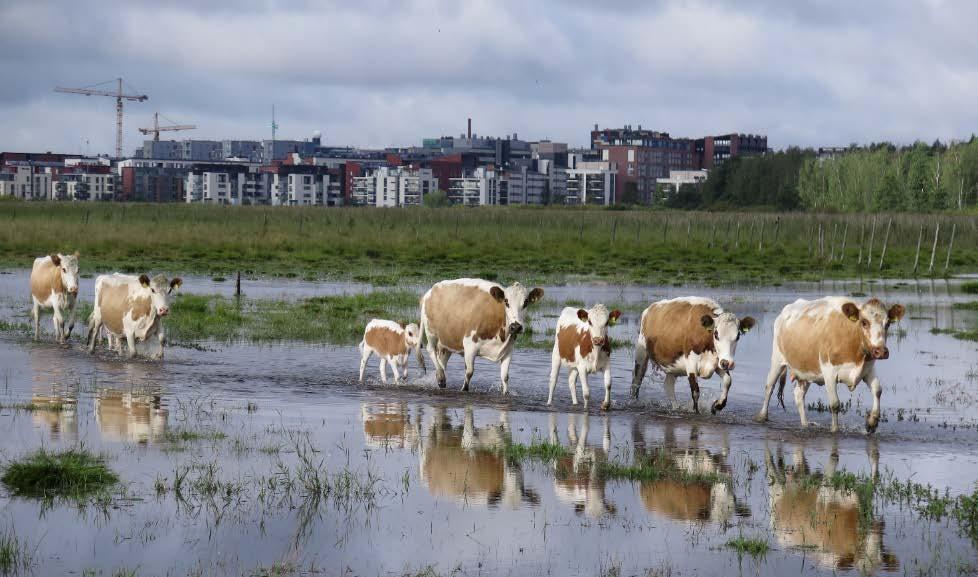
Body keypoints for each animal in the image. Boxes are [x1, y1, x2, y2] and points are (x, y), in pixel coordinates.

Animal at [628, 296, 760, 414]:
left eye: (738, 336)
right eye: (716, 334)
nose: (728, 363)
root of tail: (650, 308)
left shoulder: (717, 361)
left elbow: (728, 381)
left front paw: (717, 405)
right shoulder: (691, 363)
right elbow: (695, 391)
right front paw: (696, 412)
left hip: (672, 368)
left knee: (668, 386)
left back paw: (676, 408)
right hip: (641, 354)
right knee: (636, 381)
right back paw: (633, 401)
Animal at [756, 296, 908, 432]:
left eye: (888, 323)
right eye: (864, 322)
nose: (881, 351)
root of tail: (785, 310)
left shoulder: (868, 369)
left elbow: (877, 390)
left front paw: (871, 423)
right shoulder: (829, 372)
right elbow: (835, 404)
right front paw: (835, 429)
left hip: (805, 370)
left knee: (799, 395)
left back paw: (805, 424)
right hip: (777, 359)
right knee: (769, 387)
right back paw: (762, 417)